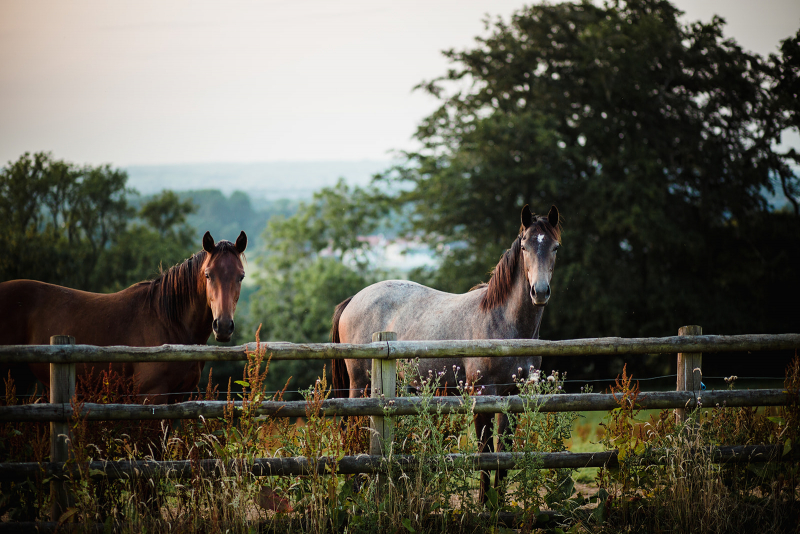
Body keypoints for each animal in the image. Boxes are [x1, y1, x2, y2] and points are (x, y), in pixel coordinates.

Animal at [0, 232, 247, 404]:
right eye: (208, 275)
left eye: (241, 276)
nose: (223, 326)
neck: (169, 322)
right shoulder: (152, 396)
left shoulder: (179, 396)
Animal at [332, 204, 564, 502]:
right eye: (524, 246)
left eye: (555, 247)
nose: (540, 292)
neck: (503, 323)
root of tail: (354, 300)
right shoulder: (483, 394)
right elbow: (485, 452)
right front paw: (483, 504)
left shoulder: (514, 396)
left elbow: (504, 454)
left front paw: (497, 504)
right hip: (360, 384)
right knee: (352, 427)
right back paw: (356, 490)